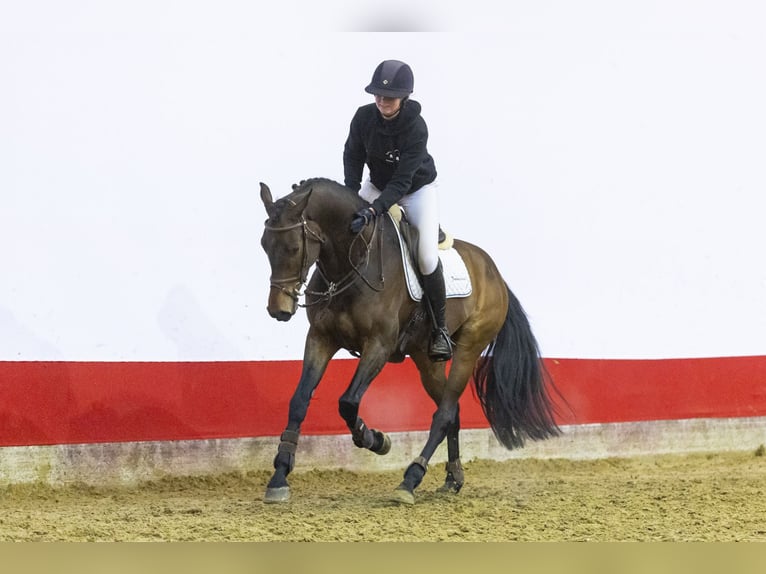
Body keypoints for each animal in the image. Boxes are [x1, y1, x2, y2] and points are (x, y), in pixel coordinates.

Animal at [260, 178, 564, 506]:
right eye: (264, 245)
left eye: (293, 247)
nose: (278, 310)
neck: (352, 262)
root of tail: (495, 275)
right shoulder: (321, 338)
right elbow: (299, 400)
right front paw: (279, 476)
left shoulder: (378, 345)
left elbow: (348, 402)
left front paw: (376, 440)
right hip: (425, 359)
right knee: (451, 410)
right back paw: (452, 478)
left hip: (468, 348)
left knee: (444, 414)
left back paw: (410, 480)